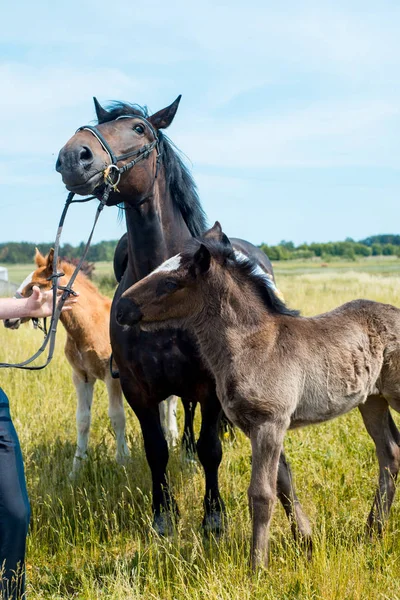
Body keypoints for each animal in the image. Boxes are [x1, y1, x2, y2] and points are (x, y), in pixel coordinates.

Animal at [54, 97, 310, 540]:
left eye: (140, 128)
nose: (74, 156)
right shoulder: (138, 388)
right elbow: (156, 450)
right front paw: (163, 516)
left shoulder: (209, 387)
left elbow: (212, 450)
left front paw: (213, 517)